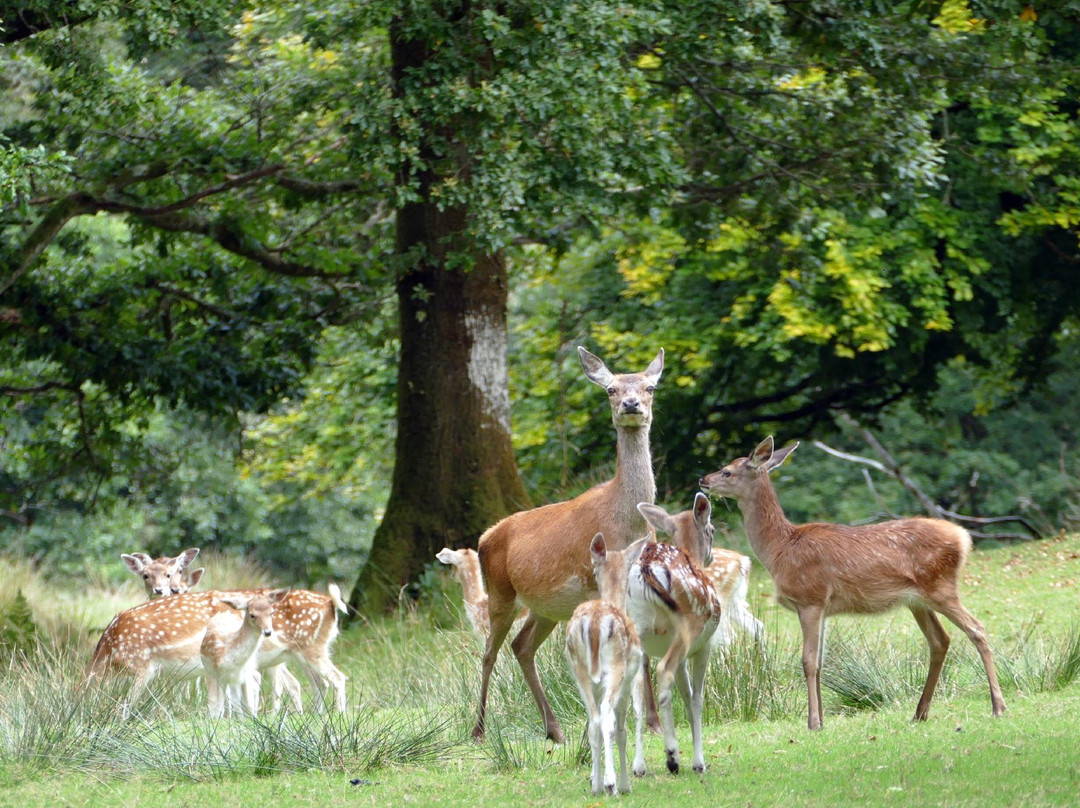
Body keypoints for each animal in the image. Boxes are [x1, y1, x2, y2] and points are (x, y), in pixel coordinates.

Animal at [475, 343, 660, 743]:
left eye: (650, 387)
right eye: (611, 389)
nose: (631, 404)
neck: (627, 524)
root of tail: (483, 538)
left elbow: (641, 650)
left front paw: (653, 721)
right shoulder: (596, 582)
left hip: (545, 607)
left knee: (521, 646)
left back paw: (555, 730)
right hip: (500, 593)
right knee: (489, 653)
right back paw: (478, 729)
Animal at [561, 535, 643, 795]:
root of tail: (595, 622)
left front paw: (592, 778)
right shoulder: (628, 678)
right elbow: (622, 729)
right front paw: (625, 784)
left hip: (580, 671)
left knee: (594, 720)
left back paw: (597, 785)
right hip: (616, 668)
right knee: (607, 717)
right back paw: (611, 783)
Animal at [630, 494, 725, 773]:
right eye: (712, 529)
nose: (712, 556)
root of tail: (648, 566)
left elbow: (686, 694)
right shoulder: (704, 646)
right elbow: (696, 698)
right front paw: (699, 762)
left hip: (636, 629)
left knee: (637, 692)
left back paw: (638, 765)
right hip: (687, 626)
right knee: (663, 672)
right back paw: (672, 755)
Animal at [695, 438, 1006, 730]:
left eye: (727, 471)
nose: (703, 479)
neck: (780, 550)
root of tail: (963, 538)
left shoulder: (810, 599)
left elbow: (808, 661)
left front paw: (811, 722)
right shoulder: (822, 608)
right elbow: (820, 663)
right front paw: (821, 720)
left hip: (941, 587)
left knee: (977, 629)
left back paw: (998, 706)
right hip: (917, 600)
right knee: (940, 640)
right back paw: (920, 713)